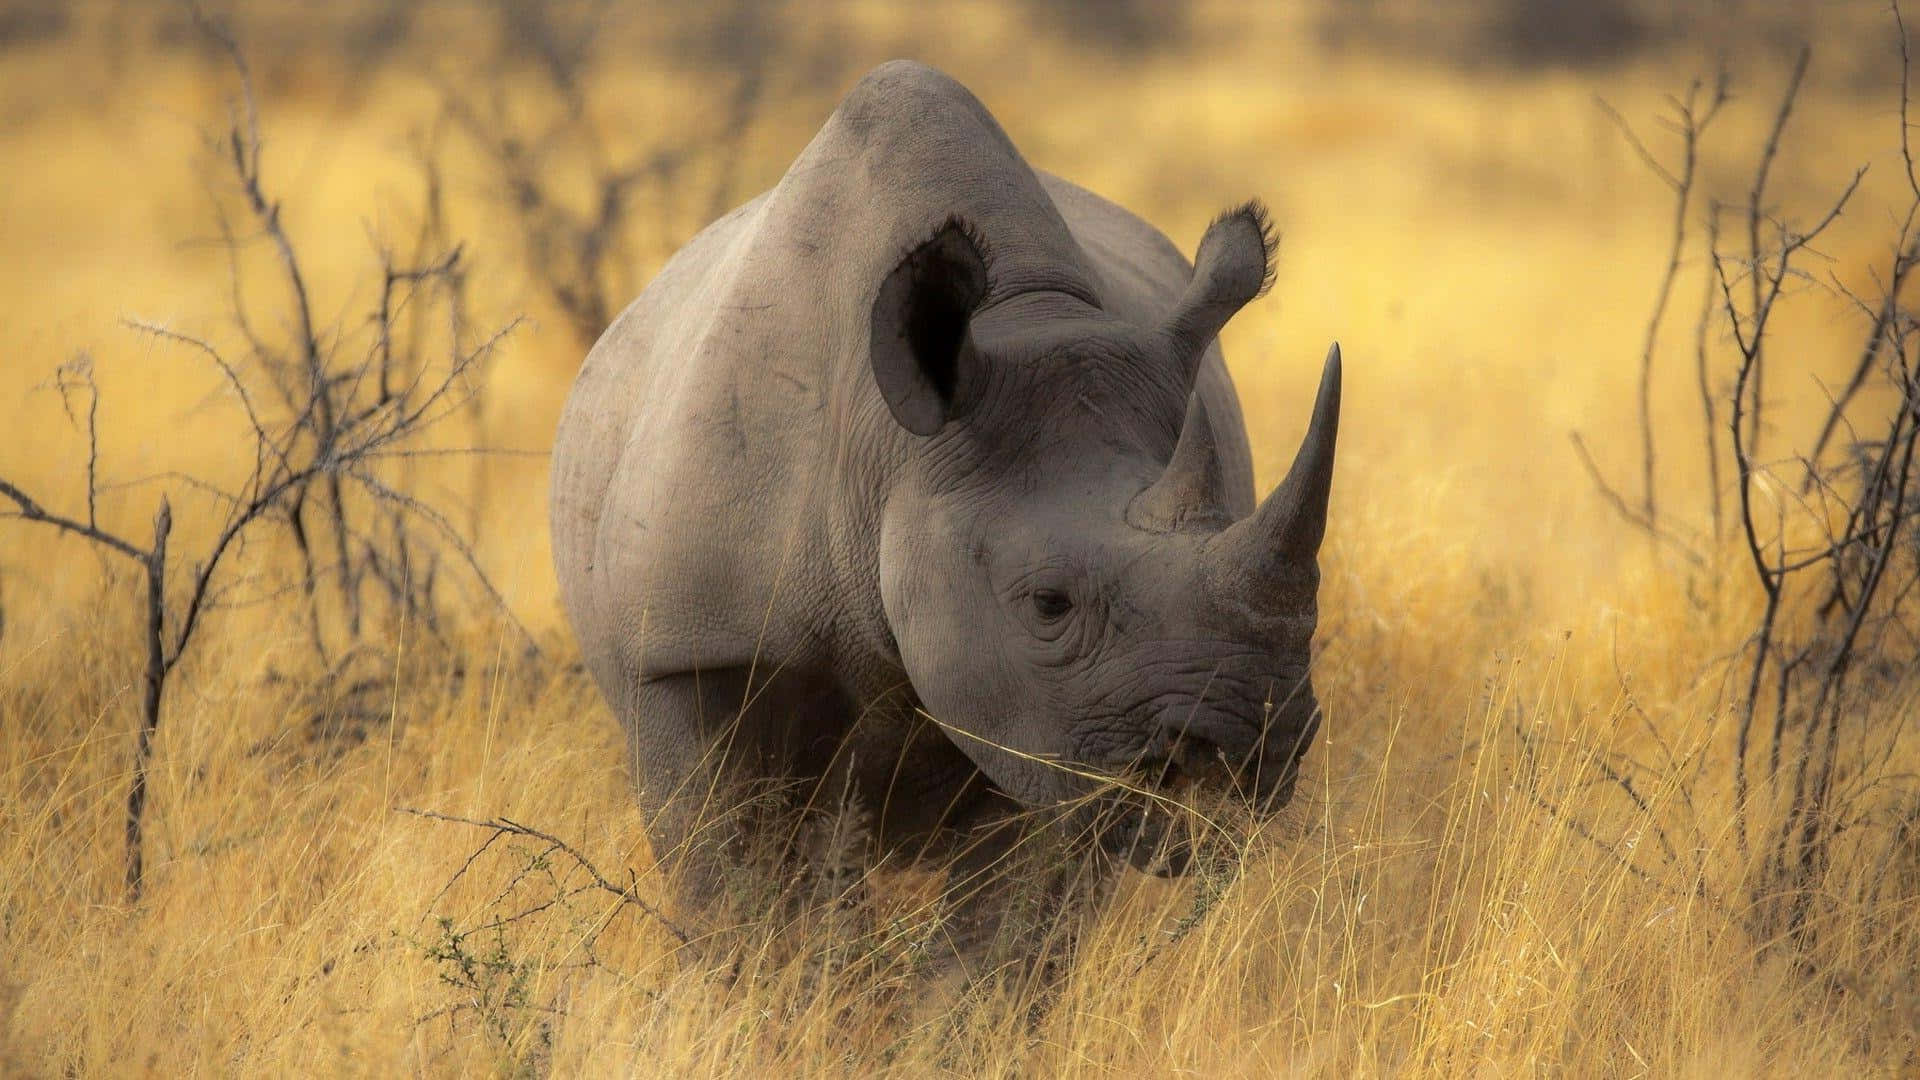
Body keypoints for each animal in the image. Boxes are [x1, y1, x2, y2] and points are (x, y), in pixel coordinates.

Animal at [550, 61, 1340, 930]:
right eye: (1048, 604)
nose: (1251, 751)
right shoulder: (684, 642)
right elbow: (728, 883)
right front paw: (766, 968)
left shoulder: (1045, 729)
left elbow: (1005, 935)